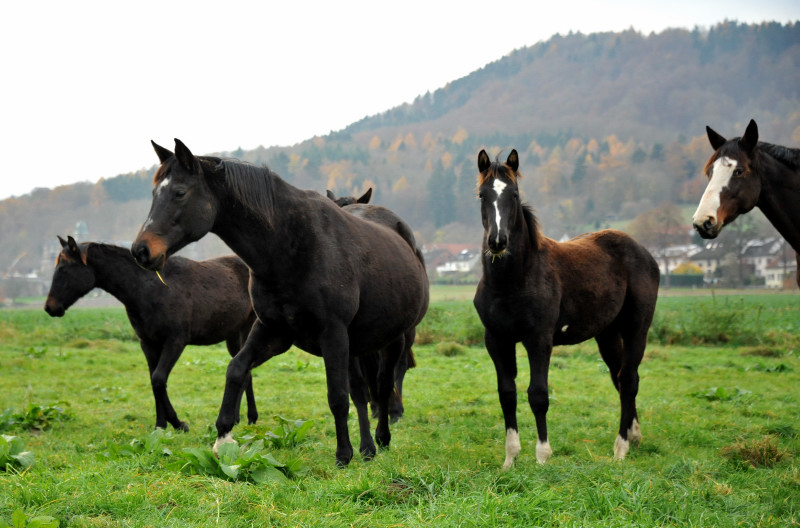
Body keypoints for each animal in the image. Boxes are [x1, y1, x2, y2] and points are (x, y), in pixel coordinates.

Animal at [44, 237, 256, 432]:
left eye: (63, 269)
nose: (49, 307)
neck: (149, 289)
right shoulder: (148, 343)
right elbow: (153, 381)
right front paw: (160, 425)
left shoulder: (175, 342)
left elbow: (158, 379)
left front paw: (178, 423)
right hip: (232, 337)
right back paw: (239, 417)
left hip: (247, 331)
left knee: (245, 373)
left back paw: (249, 417)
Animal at [132, 138, 428, 464]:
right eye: (154, 193)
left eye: (180, 192)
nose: (141, 250)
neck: (290, 246)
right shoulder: (273, 330)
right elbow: (236, 369)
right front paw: (224, 436)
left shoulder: (333, 334)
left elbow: (337, 396)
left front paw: (343, 454)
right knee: (362, 390)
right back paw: (368, 448)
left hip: (395, 338)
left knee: (385, 385)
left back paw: (381, 438)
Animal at [472, 151, 660, 468]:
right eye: (482, 195)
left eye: (514, 194)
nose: (498, 241)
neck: (513, 279)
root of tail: (644, 252)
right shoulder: (496, 340)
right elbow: (507, 394)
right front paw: (510, 459)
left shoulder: (539, 340)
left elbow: (538, 395)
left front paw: (542, 456)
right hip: (607, 334)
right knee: (619, 376)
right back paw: (634, 436)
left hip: (637, 328)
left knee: (628, 380)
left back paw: (621, 447)